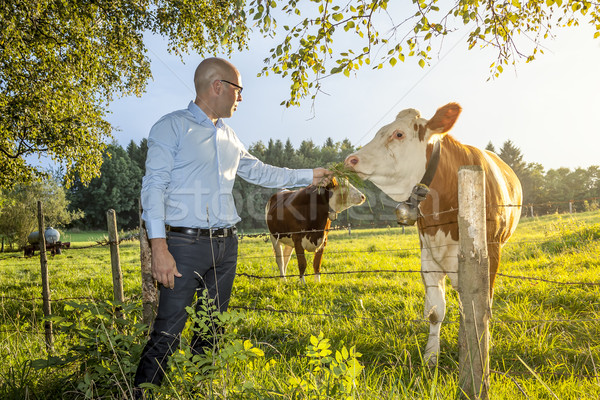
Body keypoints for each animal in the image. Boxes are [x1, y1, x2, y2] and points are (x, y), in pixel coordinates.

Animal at [344, 103, 524, 366]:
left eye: (398, 134)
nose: (351, 159)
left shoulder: (489, 255)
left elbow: (482, 309)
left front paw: (480, 350)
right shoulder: (427, 256)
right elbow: (436, 311)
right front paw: (430, 357)